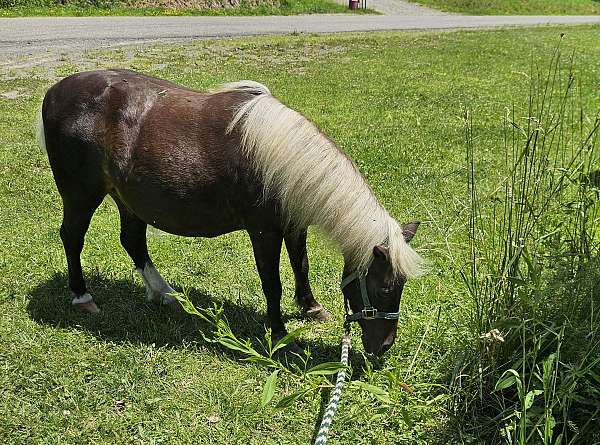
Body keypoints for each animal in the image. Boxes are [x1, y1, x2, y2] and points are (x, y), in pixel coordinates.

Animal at [39, 71, 424, 360]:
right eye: (384, 287)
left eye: (401, 285)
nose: (384, 346)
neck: (280, 161)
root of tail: (54, 91)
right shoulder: (264, 232)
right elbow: (272, 283)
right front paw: (279, 333)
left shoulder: (294, 224)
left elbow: (301, 265)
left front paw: (311, 307)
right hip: (81, 194)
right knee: (72, 237)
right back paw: (83, 296)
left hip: (127, 199)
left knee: (132, 242)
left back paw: (165, 293)